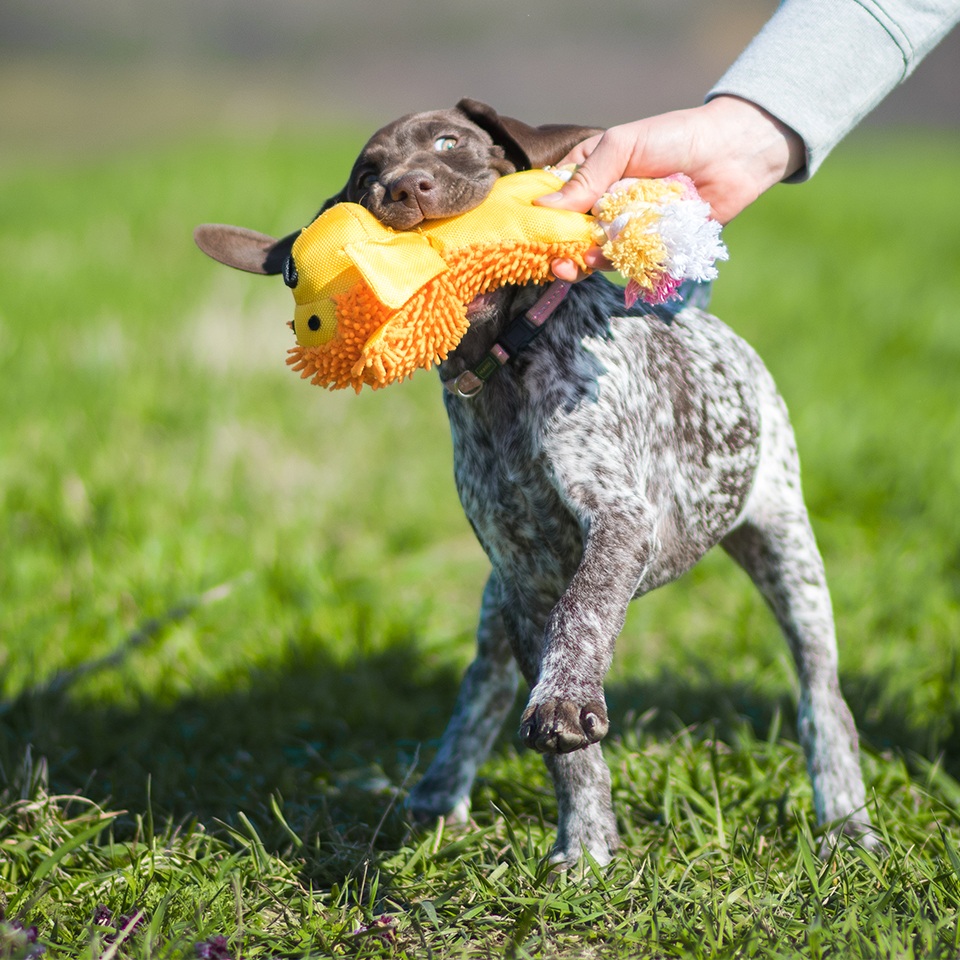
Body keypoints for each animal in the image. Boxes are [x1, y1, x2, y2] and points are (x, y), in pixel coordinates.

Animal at [193, 99, 872, 872]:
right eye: (368, 176)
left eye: (449, 142)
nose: (405, 189)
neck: (502, 369)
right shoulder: (520, 576)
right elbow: (568, 752)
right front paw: (586, 844)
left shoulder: (618, 519)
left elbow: (585, 614)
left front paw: (566, 713)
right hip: (499, 601)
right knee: (480, 685)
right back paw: (440, 792)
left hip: (787, 547)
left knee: (822, 695)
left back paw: (845, 818)